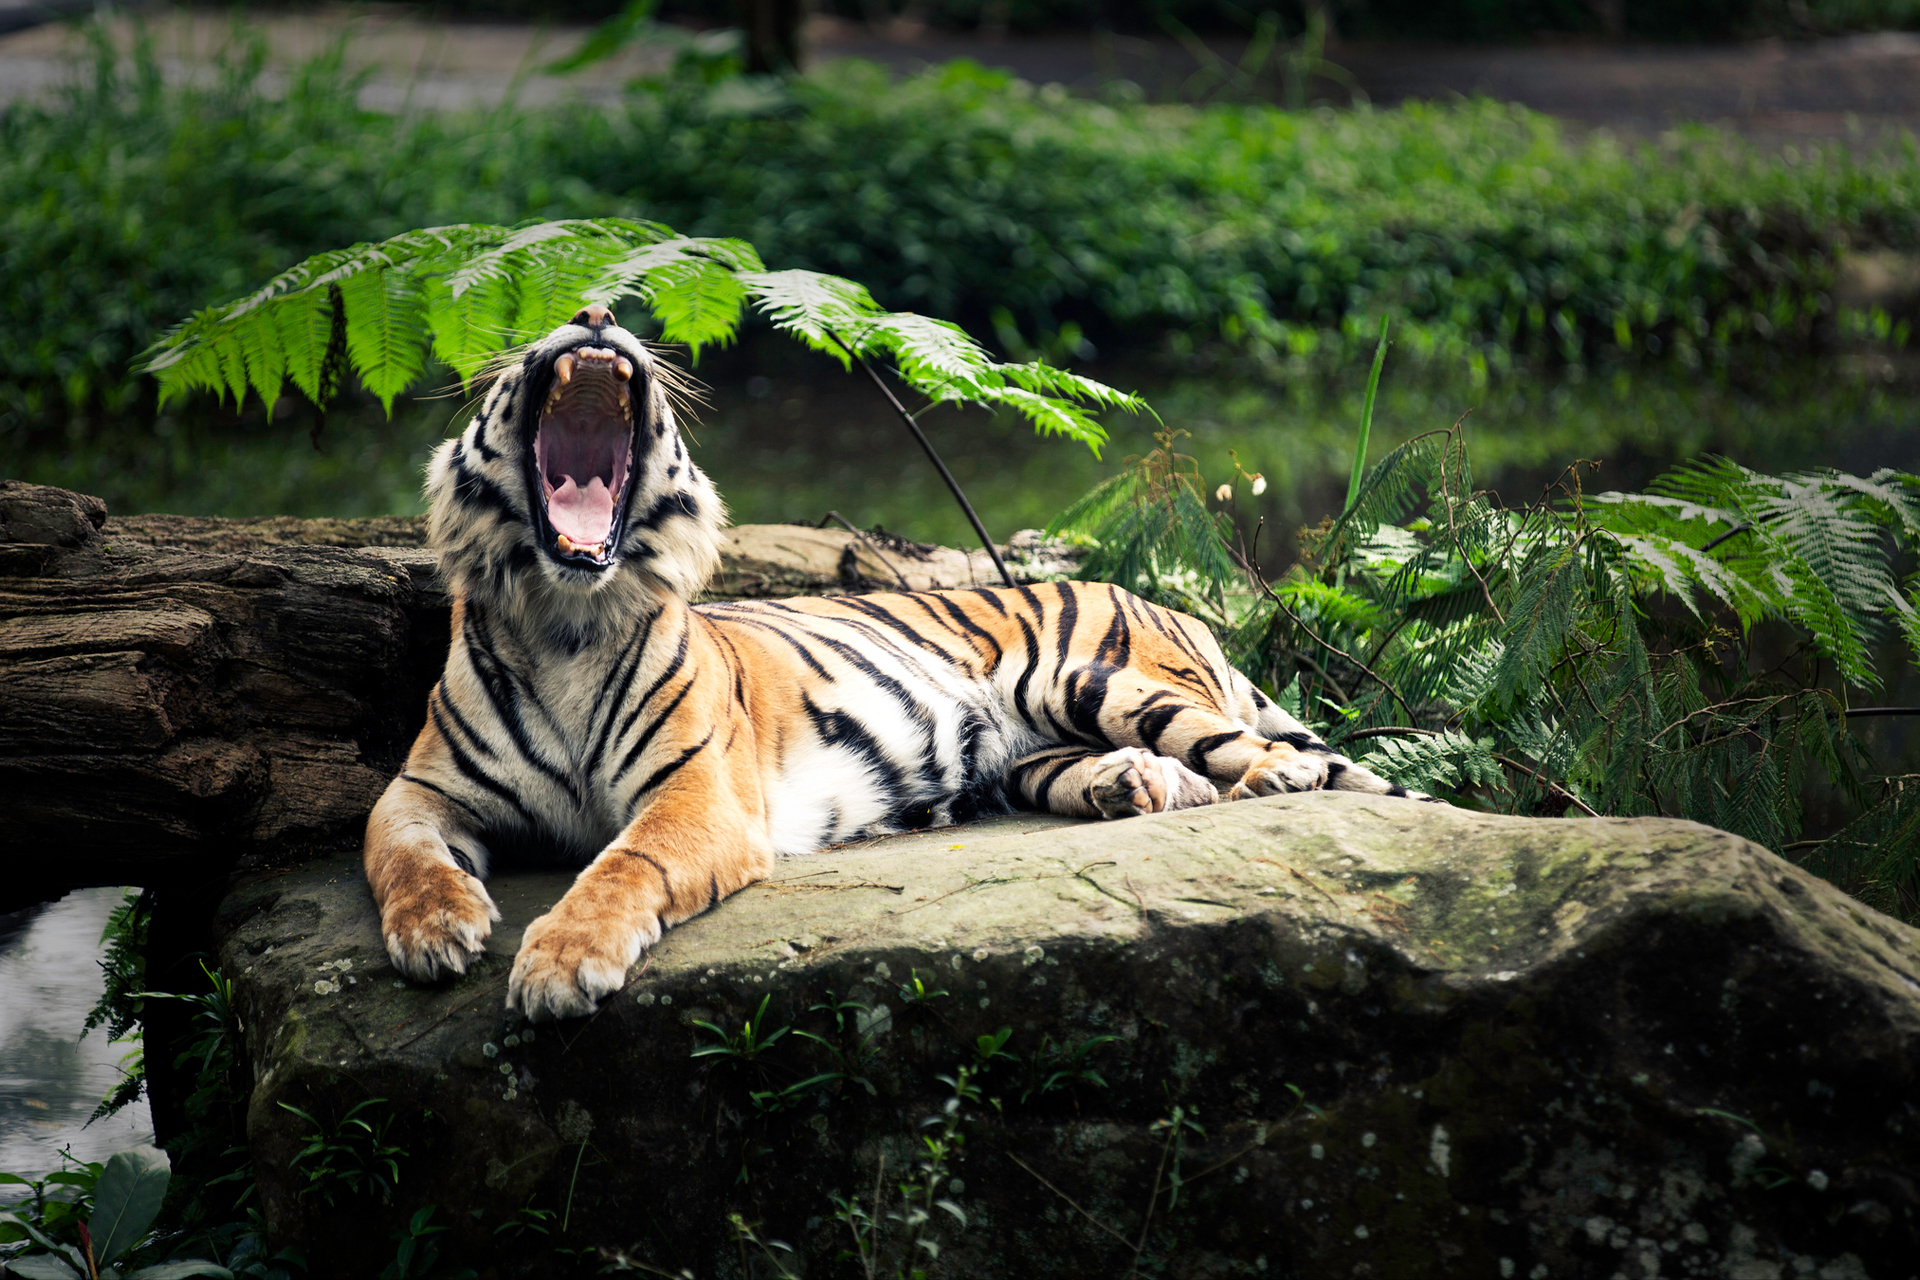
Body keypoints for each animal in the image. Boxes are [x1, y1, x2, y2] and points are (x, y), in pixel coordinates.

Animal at [366, 303, 1436, 1020]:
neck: (567, 616)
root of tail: (1165, 601)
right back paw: (1131, 787)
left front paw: (557, 964)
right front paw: (437, 929)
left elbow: (625, 863)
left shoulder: (697, 794)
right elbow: (396, 850)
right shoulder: (425, 786)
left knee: (1258, 753)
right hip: (1033, 751)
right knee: (1166, 776)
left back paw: (1270, 776)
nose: (595, 313)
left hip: (1085, 678)